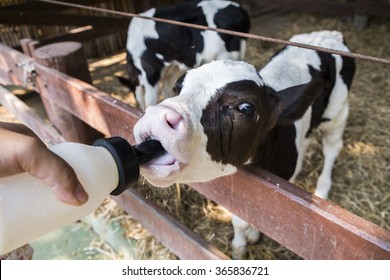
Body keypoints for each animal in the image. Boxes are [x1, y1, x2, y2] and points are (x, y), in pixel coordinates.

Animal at [134, 30, 356, 258]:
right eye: (177, 88)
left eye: (247, 108)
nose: (157, 118)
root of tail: (328, 35)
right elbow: (240, 217)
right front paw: (241, 243)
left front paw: (251, 237)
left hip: (338, 112)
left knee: (331, 148)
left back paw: (322, 188)